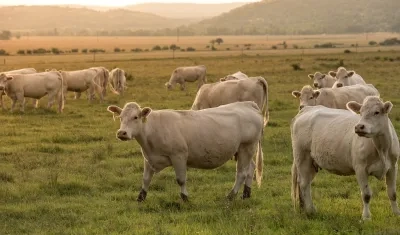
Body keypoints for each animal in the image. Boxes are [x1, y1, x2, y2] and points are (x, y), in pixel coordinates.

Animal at [106, 101, 264, 202]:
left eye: (135, 117)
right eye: (121, 117)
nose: (122, 133)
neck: (152, 129)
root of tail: (248, 104)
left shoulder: (179, 156)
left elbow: (181, 179)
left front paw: (185, 197)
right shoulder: (149, 158)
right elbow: (145, 179)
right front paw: (141, 197)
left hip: (246, 147)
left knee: (241, 173)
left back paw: (231, 195)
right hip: (242, 151)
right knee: (250, 169)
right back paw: (246, 194)